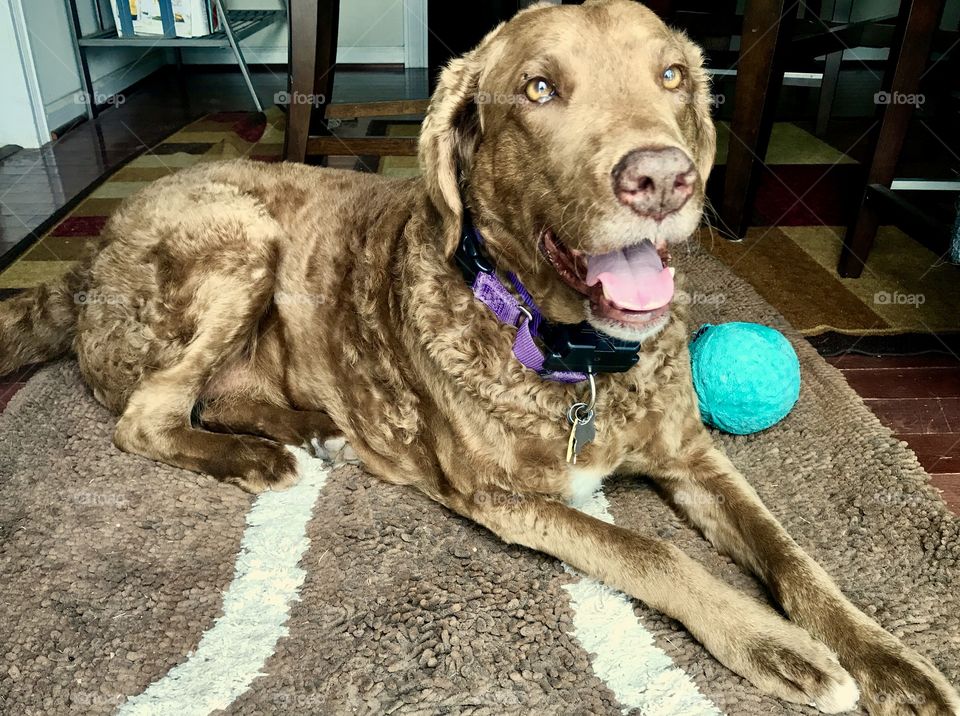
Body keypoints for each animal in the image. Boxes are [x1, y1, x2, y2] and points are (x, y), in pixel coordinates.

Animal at [1, 2, 960, 712]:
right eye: (538, 88)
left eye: (674, 77)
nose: (662, 177)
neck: (578, 360)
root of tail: (89, 254)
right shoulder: (505, 498)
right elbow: (651, 555)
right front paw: (775, 646)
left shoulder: (694, 456)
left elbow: (791, 554)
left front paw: (887, 659)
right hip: (240, 234)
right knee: (146, 416)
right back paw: (257, 458)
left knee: (213, 393)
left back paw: (310, 429)